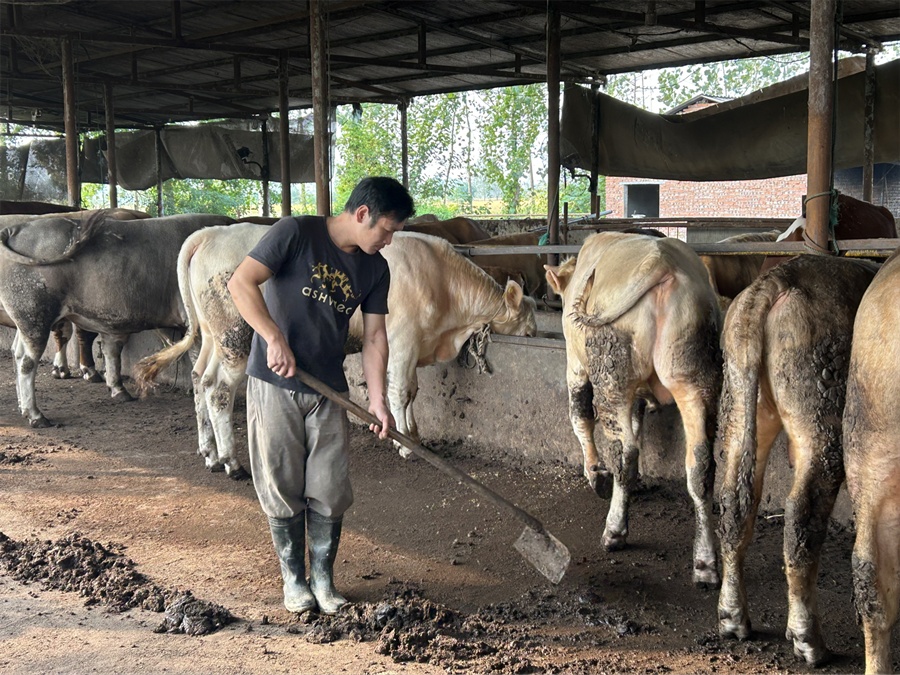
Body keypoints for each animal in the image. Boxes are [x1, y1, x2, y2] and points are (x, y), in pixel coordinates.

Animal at [0, 210, 236, 428]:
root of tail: (13, 229)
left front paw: (118, 389)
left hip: (27, 323)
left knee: (18, 353)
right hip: (34, 317)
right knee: (27, 363)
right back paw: (35, 414)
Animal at [134, 227, 536, 480]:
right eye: (530, 323)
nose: (535, 334)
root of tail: (209, 233)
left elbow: (409, 392)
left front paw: (413, 435)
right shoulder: (403, 339)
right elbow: (401, 391)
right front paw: (406, 445)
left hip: (215, 337)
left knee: (199, 378)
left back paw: (210, 453)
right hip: (235, 337)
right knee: (218, 390)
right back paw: (232, 463)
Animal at [540, 232, 724, 588]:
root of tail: (661, 262)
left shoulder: (575, 365)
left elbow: (579, 416)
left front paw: (596, 475)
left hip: (612, 375)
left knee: (625, 452)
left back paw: (614, 532)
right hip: (695, 377)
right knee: (700, 465)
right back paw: (706, 565)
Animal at [712, 254, 884, 664]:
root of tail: (779, 278)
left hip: (741, 402)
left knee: (734, 502)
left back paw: (733, 617)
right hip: (822, 415)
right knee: (801, 515)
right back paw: (808, 640)